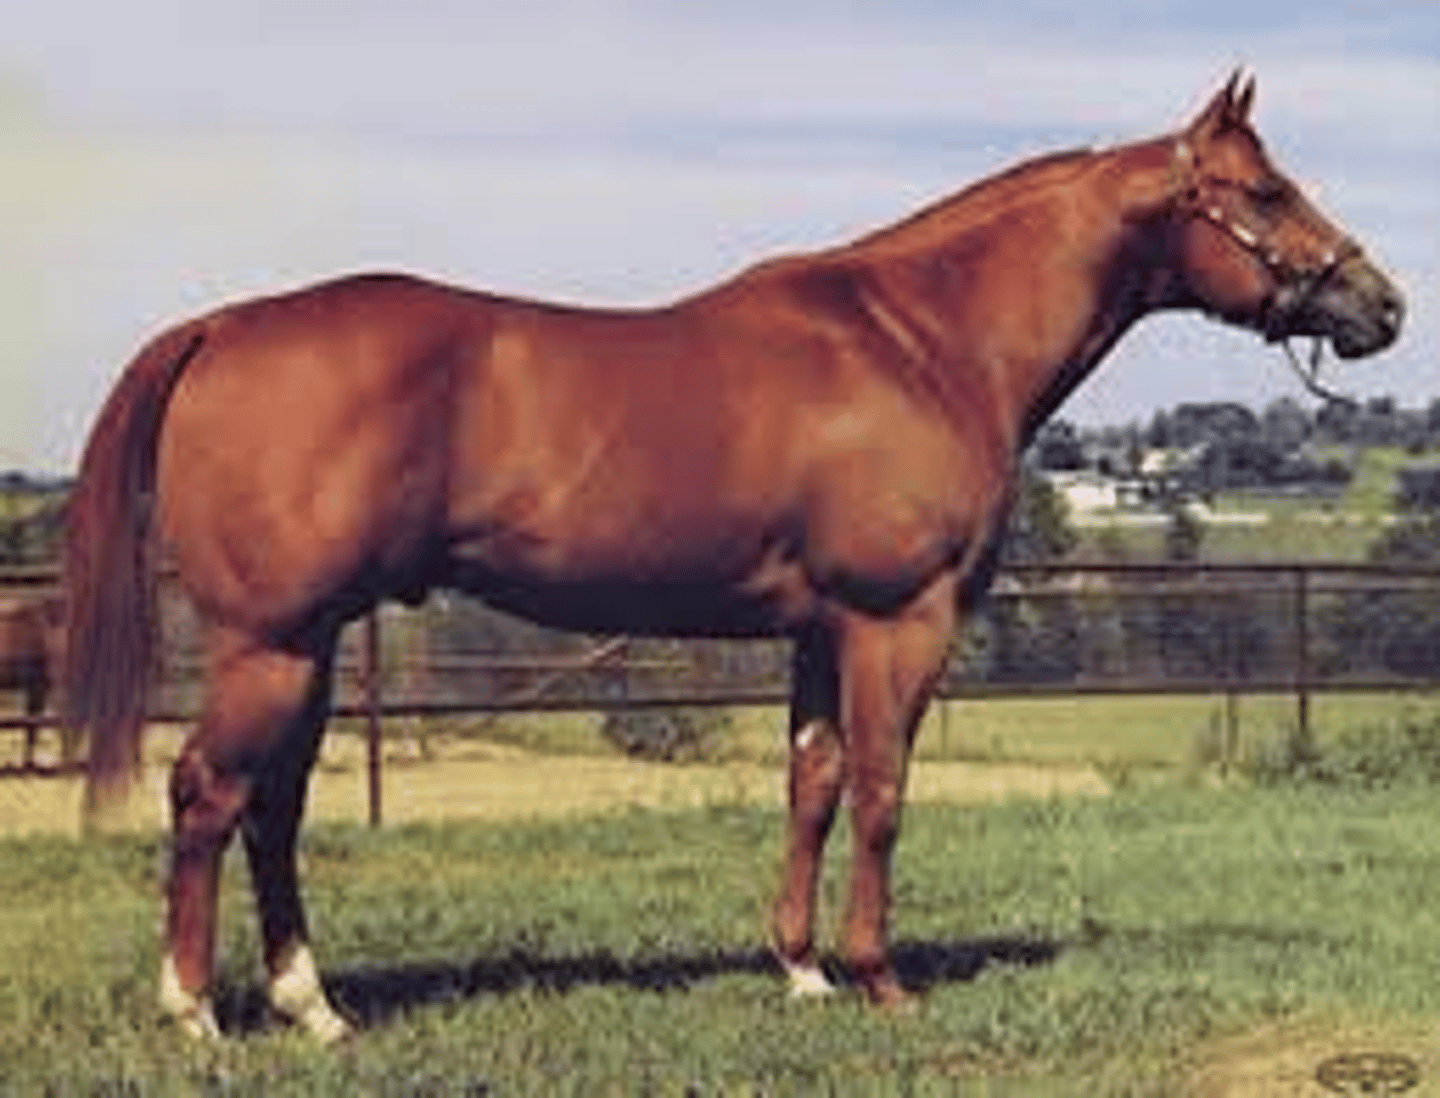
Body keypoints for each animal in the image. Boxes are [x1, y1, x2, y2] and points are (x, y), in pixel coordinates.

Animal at [64, 72, 1402, 1040]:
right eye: (1265, 191)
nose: (1382, 304)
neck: (925, 341)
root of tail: (223, 327)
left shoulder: (818, 628)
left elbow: (811, 786)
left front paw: (800, 970)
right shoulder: (898, 620)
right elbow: (881, 792)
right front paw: (879, 979)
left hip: (313, 642)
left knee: (273, 808)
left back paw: (315, 1008)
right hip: (272, 644)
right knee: (210, 796)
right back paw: (196, 1013)